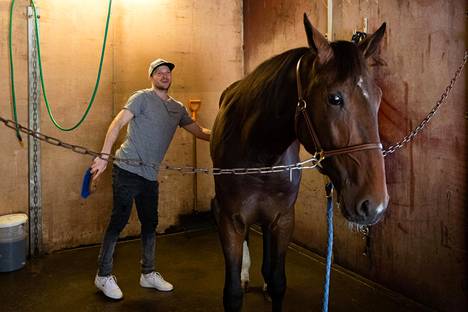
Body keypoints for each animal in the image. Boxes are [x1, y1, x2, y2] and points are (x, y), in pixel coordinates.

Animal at [210, 14, 390, 312]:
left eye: (378, 98)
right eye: (334, 98)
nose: (374, 204)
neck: (260, 155)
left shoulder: (283, 218)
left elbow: (279, 281)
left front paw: (271, 284)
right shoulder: (230, 220)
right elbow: (232, 293)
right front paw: (241, 278)